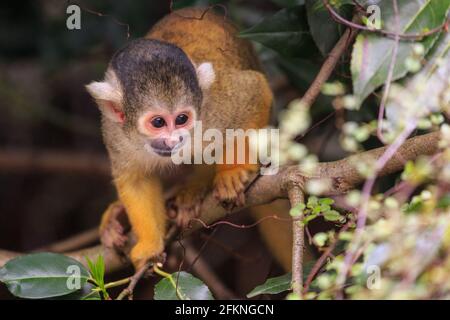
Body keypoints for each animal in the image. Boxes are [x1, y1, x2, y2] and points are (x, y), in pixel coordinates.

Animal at [86, 7, 272, 268]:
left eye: (182, 119)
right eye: (158, 122)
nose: (174, 141)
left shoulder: (213, 107)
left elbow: (255, 91)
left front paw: (232, 171)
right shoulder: (115, 132)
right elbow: (137, 180)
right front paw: (150, 245)